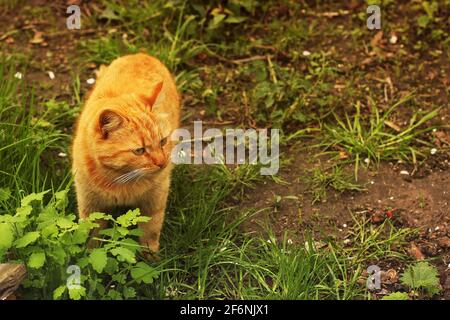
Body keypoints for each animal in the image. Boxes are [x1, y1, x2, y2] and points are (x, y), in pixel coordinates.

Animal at [72, 53, 179, 254]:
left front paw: (149, 253)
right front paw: (90, 254)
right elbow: (91, 235)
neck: (119, 180)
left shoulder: (155, 199)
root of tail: (141, 54)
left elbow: (151, 229)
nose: (162, 163)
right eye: (139, 150)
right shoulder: (90, 203)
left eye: (162, 141)